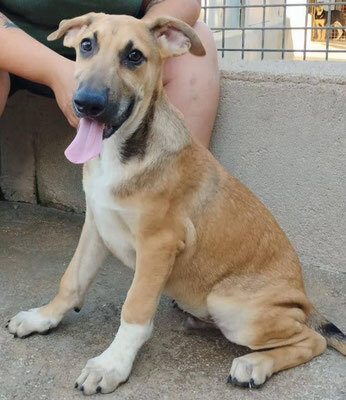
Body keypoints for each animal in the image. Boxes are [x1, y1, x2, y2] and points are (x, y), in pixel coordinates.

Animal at [6, 11, 344, 394]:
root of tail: (303, 298)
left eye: (134, 56)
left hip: (231, 305)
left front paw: (112, 364)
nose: (87, 103)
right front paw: (42, 318)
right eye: (87, 45)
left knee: (313, 340)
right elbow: (71, 280)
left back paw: (254, 364)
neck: (122, 154)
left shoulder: (159, 244)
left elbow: (135, 309)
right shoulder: (96, 224)